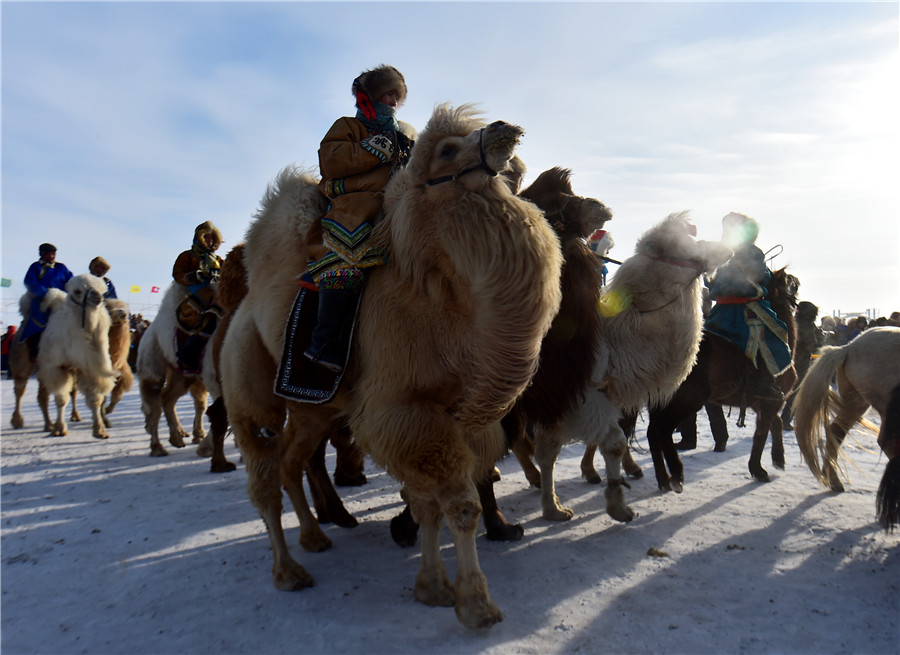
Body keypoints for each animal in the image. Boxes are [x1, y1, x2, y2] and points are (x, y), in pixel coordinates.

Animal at [35, 274, 118, 438]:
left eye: (102, 290)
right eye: (78, 291)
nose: (97, 297)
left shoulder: (91, 370)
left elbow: (95, 400)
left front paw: (100, 430)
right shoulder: (57, 367)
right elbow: (61, 399)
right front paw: (60, 428)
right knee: (42, 396)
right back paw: (47, 425)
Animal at [136, 282, 210, 456]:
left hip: (183, 375)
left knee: (170, 398)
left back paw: (181, 437)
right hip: (153, 366)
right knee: (154, 405)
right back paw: (158, 447)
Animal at [220, 106, 564, 632]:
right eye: (447, 149)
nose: (506, 130)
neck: (444, 305)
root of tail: (241, 310)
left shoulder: (450, 416)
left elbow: (427, 504)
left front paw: (433, 587)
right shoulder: (402, 409)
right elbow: (458, 505)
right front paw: (475, 603)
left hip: (314, 408)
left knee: (291, 461)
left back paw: (316, 536)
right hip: (250, 393)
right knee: (263, 479)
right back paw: (288, 571)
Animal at [644, 268, 800, 492]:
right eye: (787, 279)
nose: (796, 280)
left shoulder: (761, 404)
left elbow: (775, 424)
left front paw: (778, 458)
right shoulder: (772, 402)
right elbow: (761, 434)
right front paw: (758, 469)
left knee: (653, 433)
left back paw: (664, 479)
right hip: (686, 400)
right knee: (663, 430)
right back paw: (676, 474)